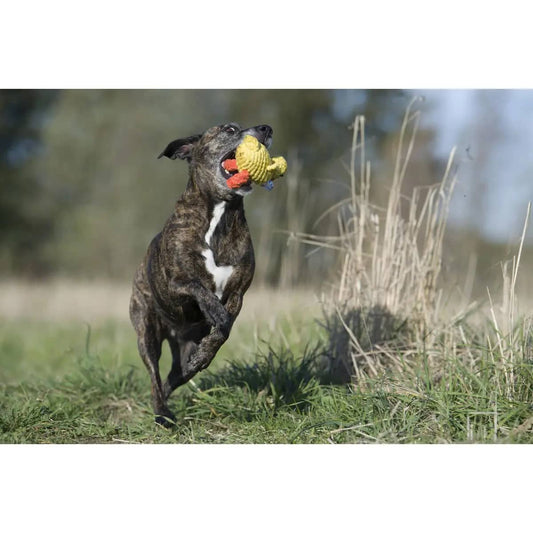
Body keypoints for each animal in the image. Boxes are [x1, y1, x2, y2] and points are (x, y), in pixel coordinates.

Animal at [127, 121, 272, 424]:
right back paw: (162, 413)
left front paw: (205, 354)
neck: (220, 213)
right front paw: (214, 309)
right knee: (154, 374)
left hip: (182, 348)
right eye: (229, 129)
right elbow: (199, 287)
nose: (266, 128)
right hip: (146, 332)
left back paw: (185, 373)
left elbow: (222, 333)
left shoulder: (238, 294)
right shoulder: (175, 283)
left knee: (174, 376)